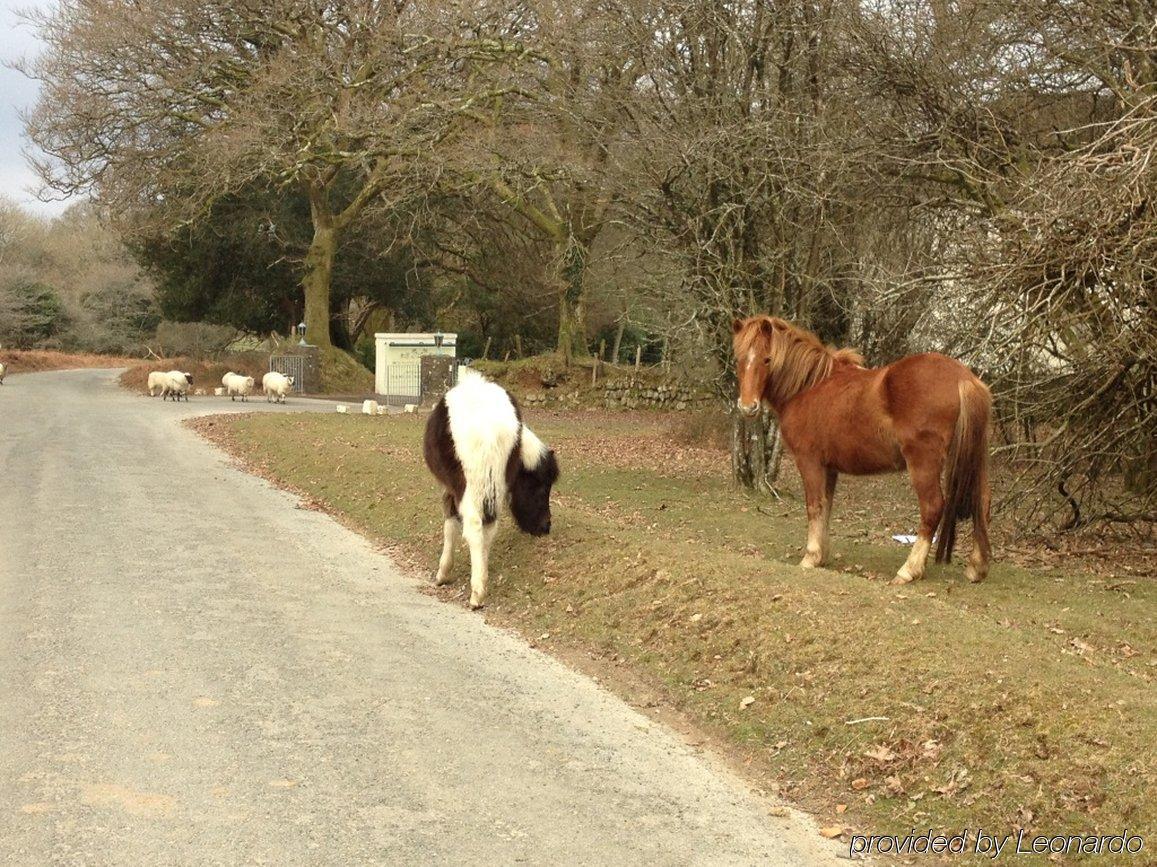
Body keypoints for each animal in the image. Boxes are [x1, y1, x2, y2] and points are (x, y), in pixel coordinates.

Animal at [425, 368, 559, 606]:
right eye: (542, 488)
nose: (546, 527)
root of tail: (488, 423)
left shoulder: (450, 489)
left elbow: (450, 525)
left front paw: (443, 574)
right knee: (489, 528)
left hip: (469, 488)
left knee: (475, 528)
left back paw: (477, 593)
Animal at [731, 314, 995, 585]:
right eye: (738, 358)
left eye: (767, 359)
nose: (748, 407)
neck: (809, 386)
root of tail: (964, 379)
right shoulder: (830, 468)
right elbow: (826, 507)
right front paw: (822, 556)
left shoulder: (809, 462)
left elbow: (814, 506)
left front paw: (810, 558)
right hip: (974, 460)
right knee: (982, 502)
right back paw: (977, 567)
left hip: (924, 463)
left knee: (932, 508)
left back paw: (908, 570)